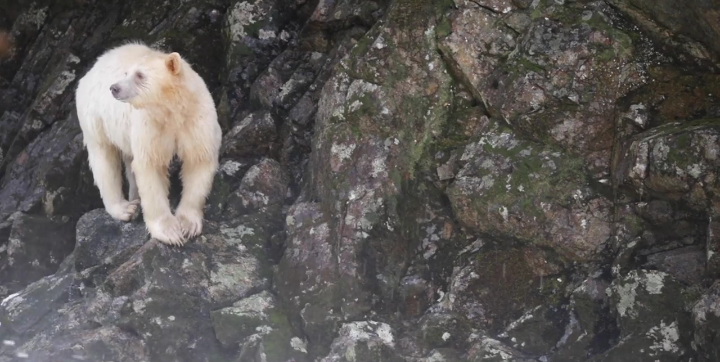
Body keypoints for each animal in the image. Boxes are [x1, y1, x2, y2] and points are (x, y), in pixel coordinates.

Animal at [75, 41, 222, 246]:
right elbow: (150, 165)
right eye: (126, 73)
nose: (114, 88)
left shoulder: (195, 119)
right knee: (104, 160)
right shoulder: (150, 124)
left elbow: (199, 159)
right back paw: (125, 208)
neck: (172, 110)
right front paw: (169, 232)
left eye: (139, 75)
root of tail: (91, 70)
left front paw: (187, 224)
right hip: (96, 118)